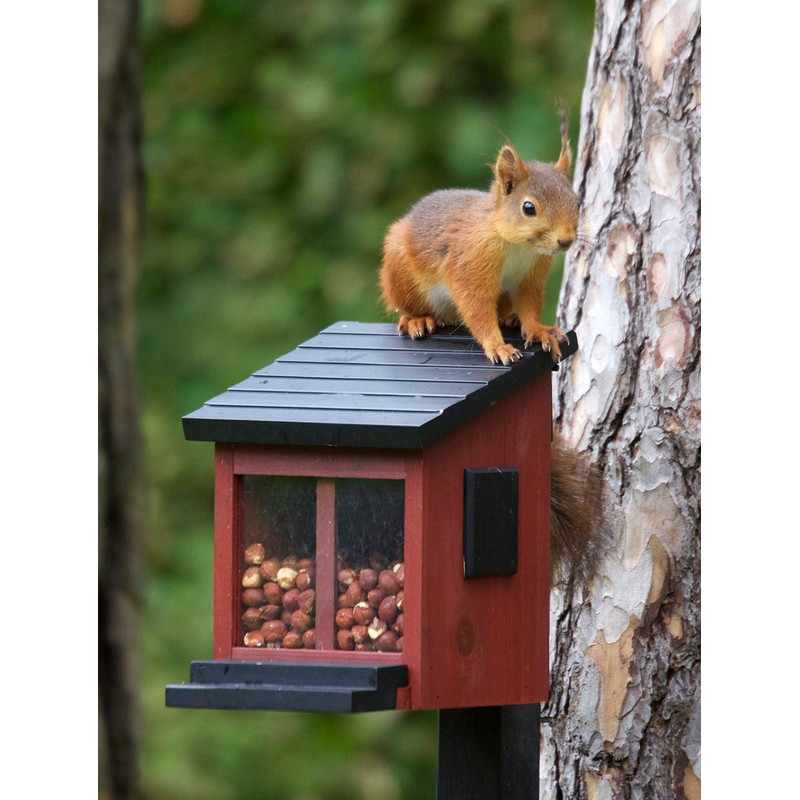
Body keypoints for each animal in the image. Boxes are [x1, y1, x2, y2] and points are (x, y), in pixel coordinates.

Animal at [380, 108, 579, 366]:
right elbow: (477, 308)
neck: (518, 246)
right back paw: (417, 319)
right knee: (408, 308)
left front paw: (539, 330)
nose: (566, 240)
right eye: (528, 208)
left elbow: (529, 304)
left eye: (577, 202)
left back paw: (509, 318)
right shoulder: (471, 263)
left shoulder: (531, 275)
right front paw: (498, 346)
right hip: (401, 275)